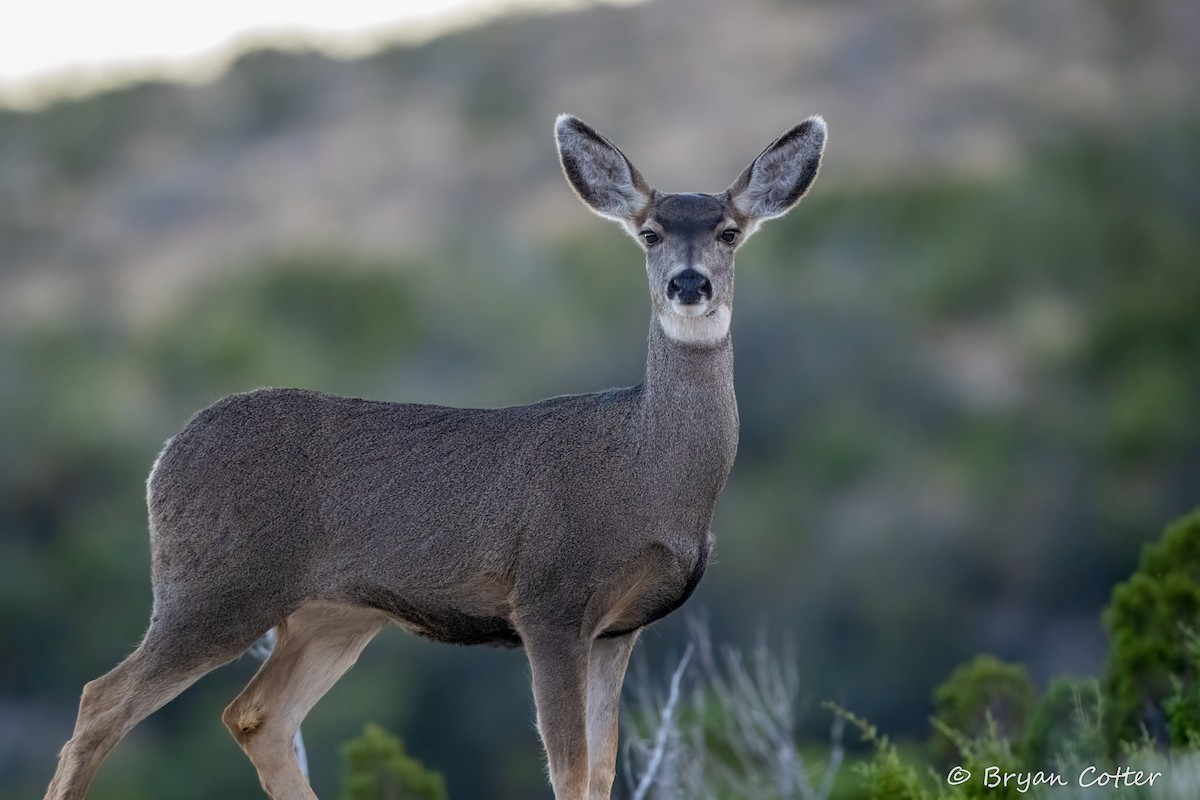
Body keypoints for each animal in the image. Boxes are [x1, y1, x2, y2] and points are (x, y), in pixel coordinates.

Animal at [43, 113, 826, 800]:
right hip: (214, 585)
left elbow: (602, 770)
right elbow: (569, 769)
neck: (649, 472)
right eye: (650, 232)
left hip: (331, 614)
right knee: (100, 700)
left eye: (729, 231)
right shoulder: (549, 600)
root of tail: (162, 461)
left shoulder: (618, 628)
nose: (688, 283)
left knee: (256, 717)